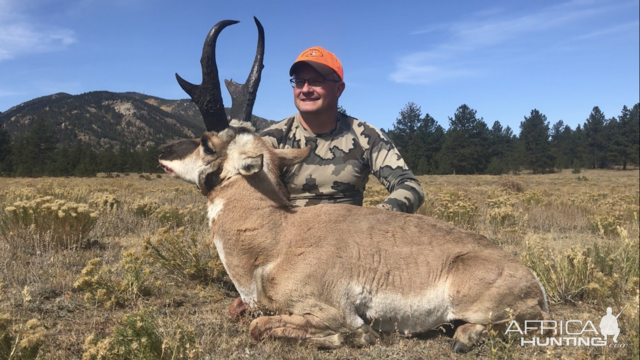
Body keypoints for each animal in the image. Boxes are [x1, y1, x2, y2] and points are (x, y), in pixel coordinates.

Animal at [161, 17, 552, 352]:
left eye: (207, 143)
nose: (163, 151)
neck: (277, 237)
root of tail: (532, 280)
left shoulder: (332, 312)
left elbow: (263, 326)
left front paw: (354, 338)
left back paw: (463, 337)